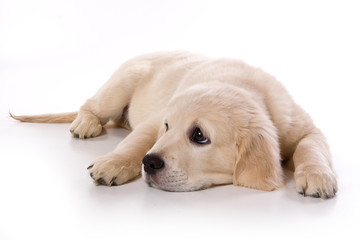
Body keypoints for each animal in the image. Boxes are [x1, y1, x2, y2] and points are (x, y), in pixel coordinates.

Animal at [11, 51, 338, 199]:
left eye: (199, 136)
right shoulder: (154, 121)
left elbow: (311, 147)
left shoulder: (305, 128)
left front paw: (318, 176)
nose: (149, 163)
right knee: (91, 105)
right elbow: (136, 142)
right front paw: (112, 164)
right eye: (167, 127)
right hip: (119, 87)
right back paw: (86, 123)